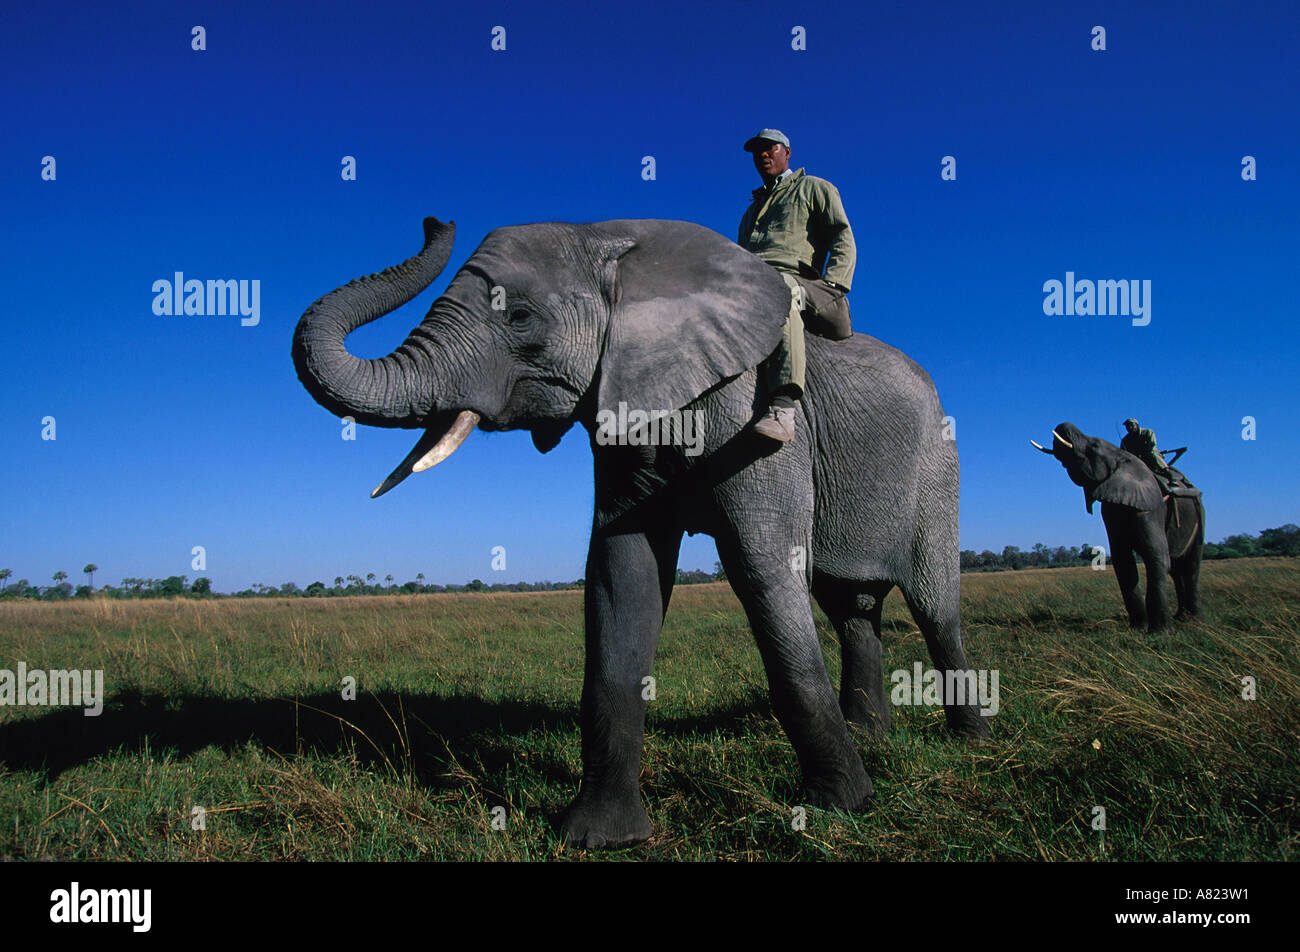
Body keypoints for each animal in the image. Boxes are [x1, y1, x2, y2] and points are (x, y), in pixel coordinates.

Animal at [293, 216, 991, 847]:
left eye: (518, 317)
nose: (434, 220)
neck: (608, 239)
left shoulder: (750, 414)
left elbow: (763, 568)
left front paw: (838, 807)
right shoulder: (625, 412)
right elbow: (621, 576)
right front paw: (600, 837)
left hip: (938, 467)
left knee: (933, 607)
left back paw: (971, 741)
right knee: (851, 606)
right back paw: (872, 735)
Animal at [1032, 422, 1204, 631]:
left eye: (1094, 446)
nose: (1061, 424)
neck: (1123, 459)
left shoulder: (1150, 507)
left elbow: (1156, 555)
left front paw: (1161, 632)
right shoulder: (1110, 512)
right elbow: (1123, 562)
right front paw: (1138, 629)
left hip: (1200, 515)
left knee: (1191, 565)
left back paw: (1194, 620)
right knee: (1176, 569)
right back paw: (1181, 617)